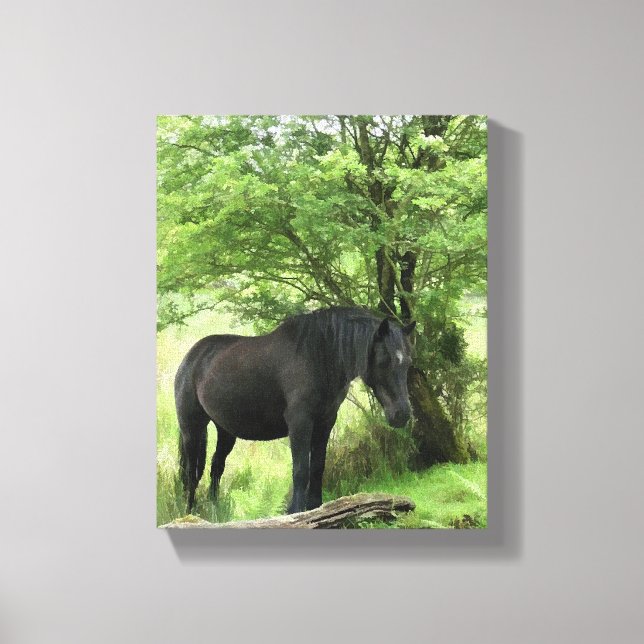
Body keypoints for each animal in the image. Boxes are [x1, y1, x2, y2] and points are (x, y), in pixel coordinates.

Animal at [175, 306, 416, 515]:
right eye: (384, 361)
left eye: (408, 362)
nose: (402, 414)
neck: (318, 357)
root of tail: (191, 357)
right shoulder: (300, 423)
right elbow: (301, 470)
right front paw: (296, 511)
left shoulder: (325, 422)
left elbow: (317, 467)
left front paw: (316, 508)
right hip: (192, 429)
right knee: (191, 474)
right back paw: (189, 512)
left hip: (225, 431)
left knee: (216, 468)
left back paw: (214, 511)